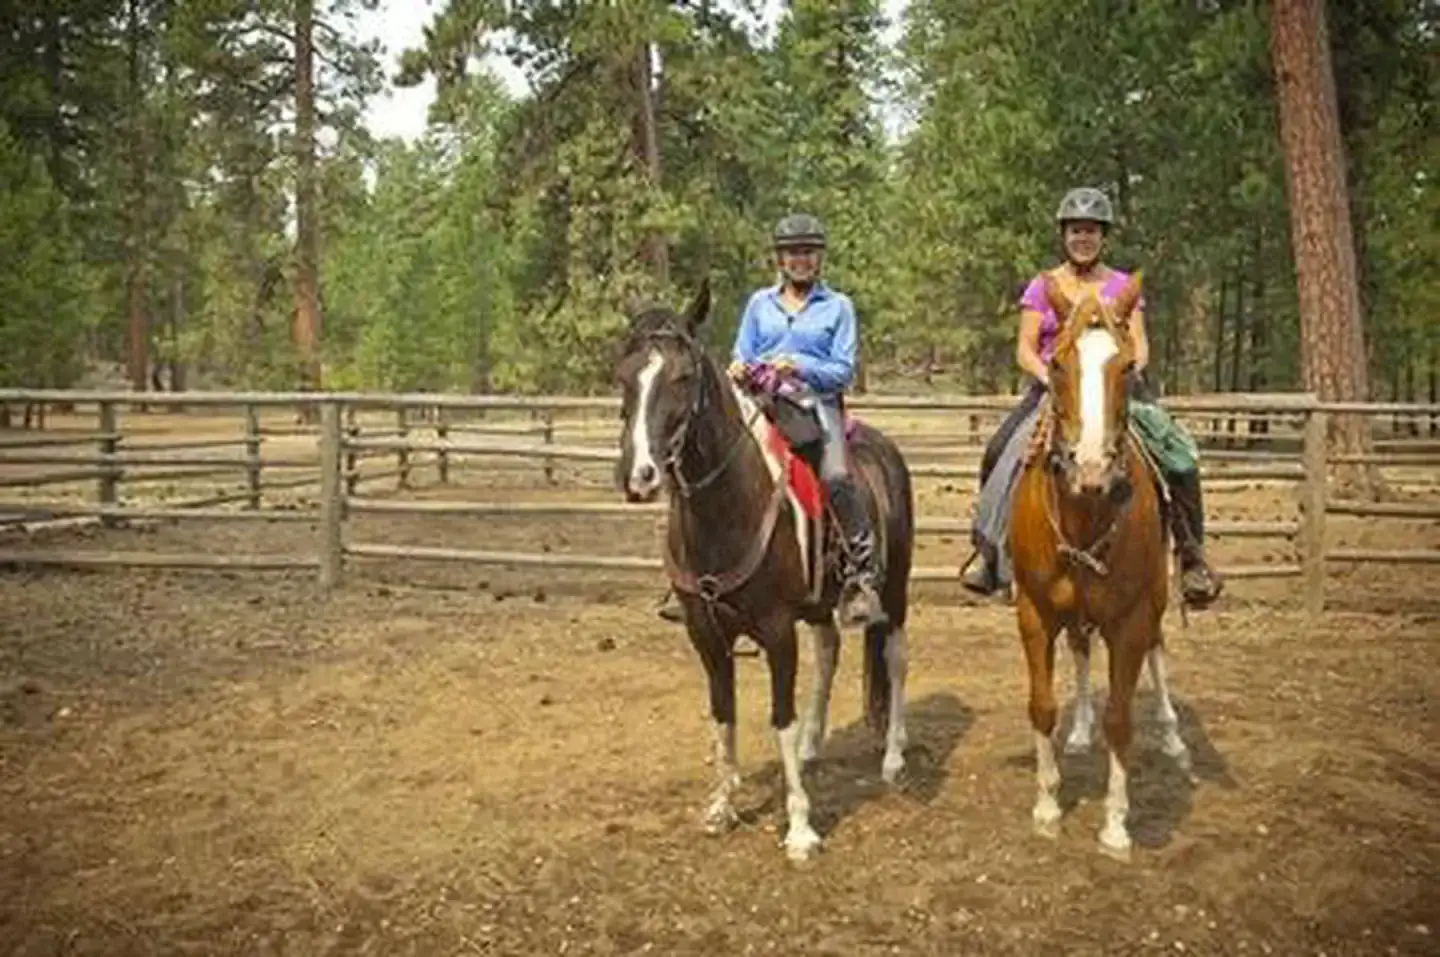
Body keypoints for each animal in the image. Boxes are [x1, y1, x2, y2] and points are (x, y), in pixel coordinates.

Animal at [613, 279, 916, 863]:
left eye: (683, 378)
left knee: (894, 659)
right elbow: (723, 715)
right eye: (623, 374)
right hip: (820, 606)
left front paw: (800, 828)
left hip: (893, 592)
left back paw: (893, 756)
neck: (728, 511)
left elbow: (780, 718)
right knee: (830, 652)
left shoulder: (777, 630)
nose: (638, 476)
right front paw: (721, 808)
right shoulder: (705, 634)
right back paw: (816, 744)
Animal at [1007, 271, 1191, 862]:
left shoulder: (1131, 619)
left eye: (1128, 365)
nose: (1090, 469)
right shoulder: (1035, 613)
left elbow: (1121, 718)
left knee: (1158, 651)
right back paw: (1080, 731)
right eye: (1057, 362)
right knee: (1081, 648)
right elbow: (1042, 706)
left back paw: (1174, 737)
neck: (1085, 514)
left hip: (1158, 596)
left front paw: (1115, 824)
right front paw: (1047, 805)